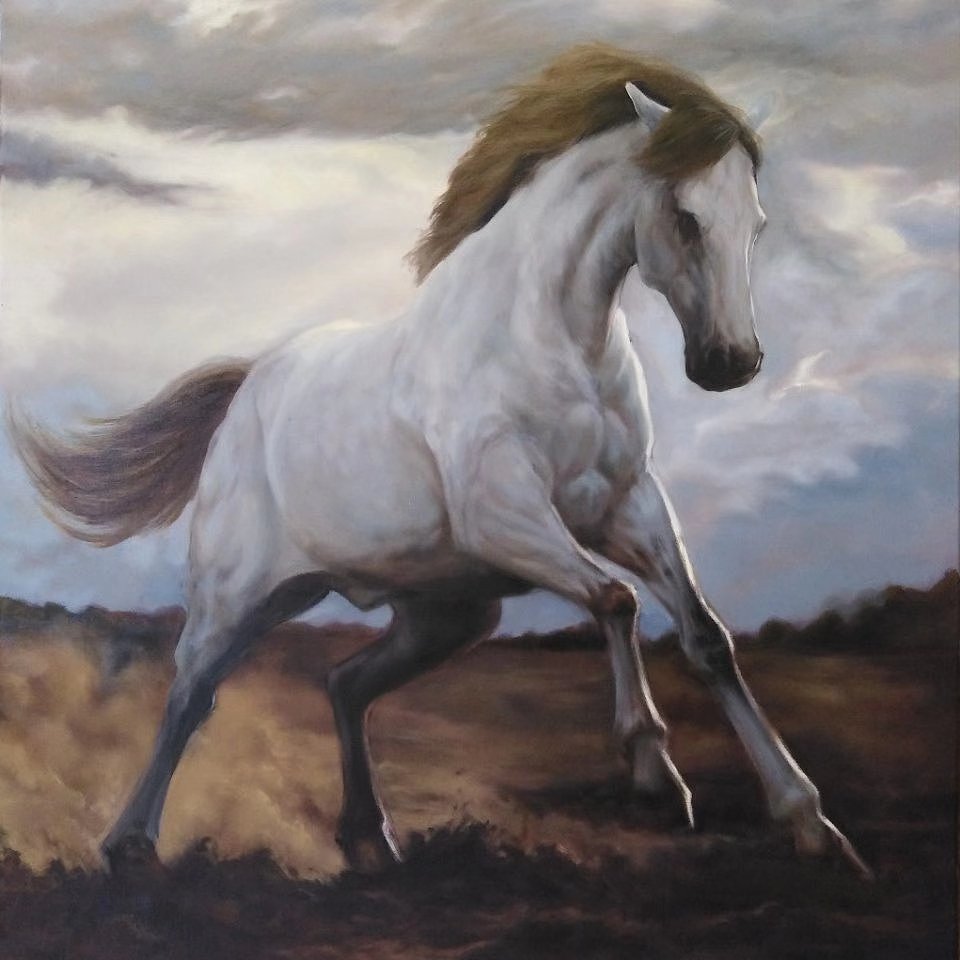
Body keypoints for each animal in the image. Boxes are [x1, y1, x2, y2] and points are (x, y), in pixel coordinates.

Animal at [10, 44, 869, 878]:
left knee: (345, 683)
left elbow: (704, 636)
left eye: (756, 224)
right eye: (687, 218)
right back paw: (129, 843)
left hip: (447, 615)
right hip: (238, 597)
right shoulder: (505, 515)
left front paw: (812, 823)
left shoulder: (628, 507)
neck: (549, 341)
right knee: (191, 696)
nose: (732, 363)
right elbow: (617, 601)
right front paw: (656, 775)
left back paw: (368, 840)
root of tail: (252, 384)